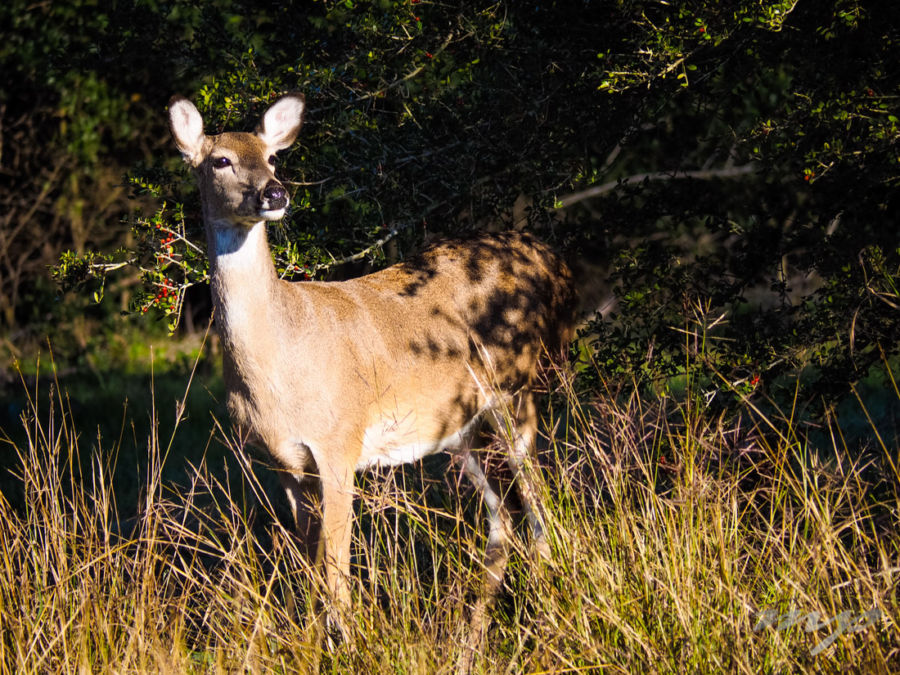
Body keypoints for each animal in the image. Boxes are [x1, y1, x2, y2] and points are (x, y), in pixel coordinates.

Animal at [168, 92, 576, 620]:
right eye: (220, 160)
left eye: (273, 157)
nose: (275, 193)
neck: (278, 361)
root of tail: (554, 262)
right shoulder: (282, 462)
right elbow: (308, 568)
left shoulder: (340, 440)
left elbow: (335, 572)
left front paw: (347, 633)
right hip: (462, 429)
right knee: (503, 518)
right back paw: (470, 634)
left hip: (516, 391)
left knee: (541, 509)